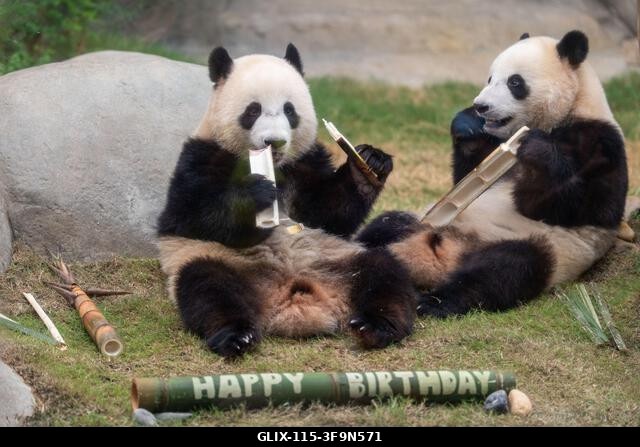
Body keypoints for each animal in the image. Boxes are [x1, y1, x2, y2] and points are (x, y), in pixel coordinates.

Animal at [156, 44, 416, 358]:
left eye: (289, 110)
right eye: (253, 110)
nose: (275, 142)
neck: (275, 165)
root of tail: (296, 294)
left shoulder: (305, 161)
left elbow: (329, 213)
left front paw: (369, 163)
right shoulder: (202, 156)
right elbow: (193, 215)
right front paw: (255, 196)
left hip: (338, 259)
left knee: (384, 274)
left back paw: (376, 327)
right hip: (220, 261)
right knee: (208, 288)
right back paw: (235, 335)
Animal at [357, 30, 629, 318]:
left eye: (515, 82)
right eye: (490, 78)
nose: (481, 106)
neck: (571, 108)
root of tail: (441, 256)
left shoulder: (599, 140)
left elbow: (592, 205)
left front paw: (537, 150)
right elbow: (465, 173)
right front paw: (467, 123)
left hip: (545, 247)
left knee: (505, 270)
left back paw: (436, 302)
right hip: (422, 220)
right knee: (387, 224)